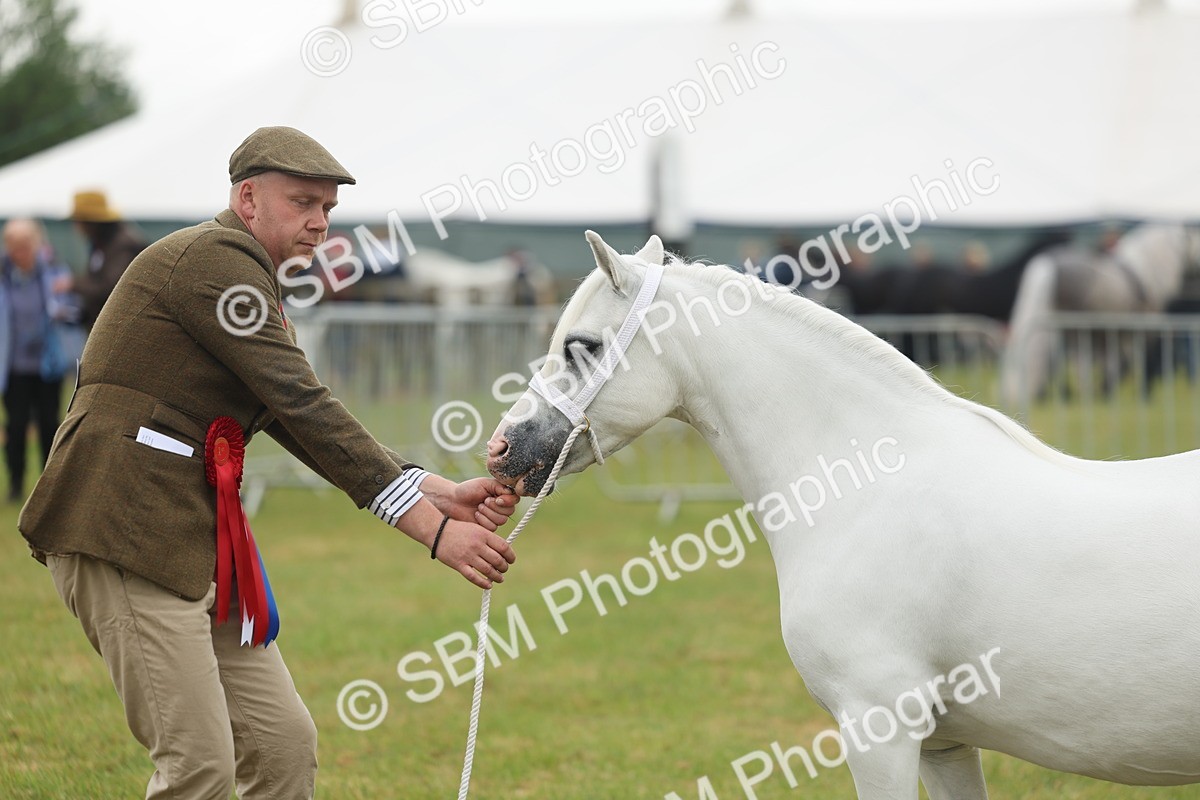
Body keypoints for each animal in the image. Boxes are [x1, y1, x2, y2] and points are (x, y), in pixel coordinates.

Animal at [1000, 222, 1200, 409]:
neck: (1148, 271)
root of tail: (1046, 266)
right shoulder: (1143, 329)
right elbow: (1140, 362)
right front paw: (1142, 395)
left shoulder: (1110, 335)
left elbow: (1114, 363)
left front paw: (1104, 393)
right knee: (1060, 360)